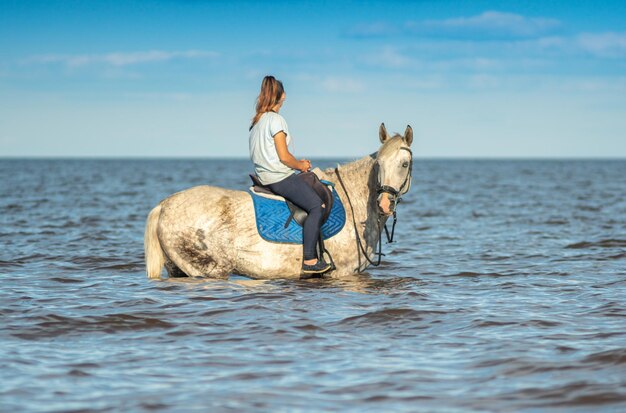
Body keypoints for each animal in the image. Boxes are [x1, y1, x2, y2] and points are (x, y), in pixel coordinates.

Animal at [144, 122, 412, 280]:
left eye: (404, 164)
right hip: (206, 270)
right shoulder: (343, 274)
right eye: (379, 164)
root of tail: (163, 205)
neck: (352, 201)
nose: (384, 203)